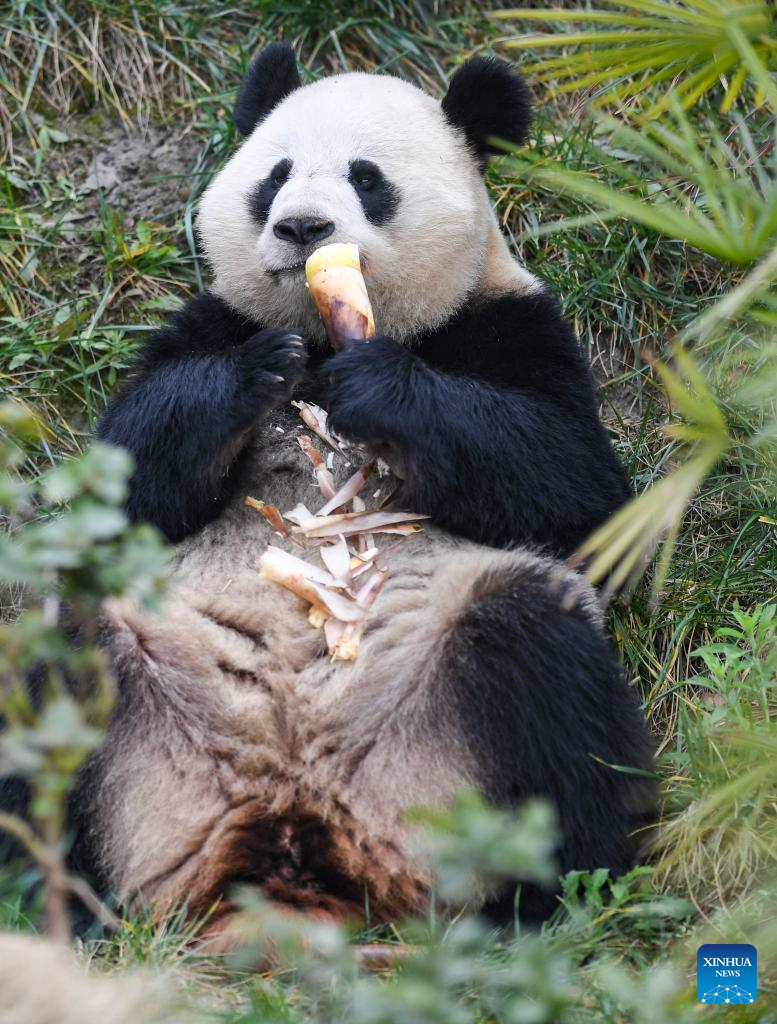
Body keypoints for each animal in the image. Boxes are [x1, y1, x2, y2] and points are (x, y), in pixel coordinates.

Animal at [72, 44, 655, 937]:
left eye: (366, 177)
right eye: (275, 176)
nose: (302, 227)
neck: (325, 327)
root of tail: (293, 817)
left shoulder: (512, 324)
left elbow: (581, 492)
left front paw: (379, 389)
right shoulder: (210, 320)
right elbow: (126, 479)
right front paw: (255, 376)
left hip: (431, 738)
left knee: (543, 664)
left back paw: (547, 901)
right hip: (153, 705)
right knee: (64, 657)